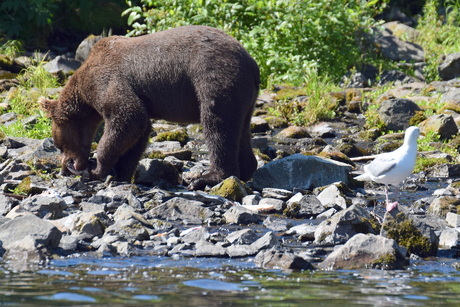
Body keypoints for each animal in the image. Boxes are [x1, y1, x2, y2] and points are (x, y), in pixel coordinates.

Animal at [40, 25, 258, 190]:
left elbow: (128, 116)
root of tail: (251, 62)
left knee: (217, 125)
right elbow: (138, 133)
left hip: (213, 78)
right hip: (243, 97)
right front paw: (121, 173)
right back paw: (245, 169)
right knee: (240, 130)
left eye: (59, 145)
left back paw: (206, 178)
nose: (65, 168)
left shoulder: (106, 81)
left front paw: (97, 169)